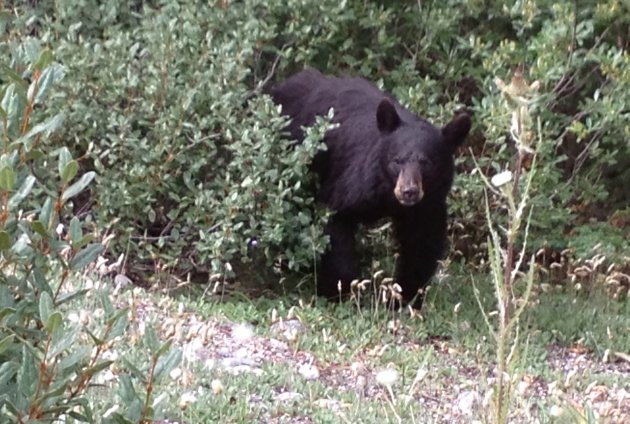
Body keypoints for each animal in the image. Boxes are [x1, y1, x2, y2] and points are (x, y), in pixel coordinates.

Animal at [270, 69, 472, 308]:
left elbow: (421, 243)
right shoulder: (355, 182)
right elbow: (334, 220)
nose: (409, 191)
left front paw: (403, 299)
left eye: (426, 163)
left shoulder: (428, 203)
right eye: (397, 161)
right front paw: (340, 291)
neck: (387, 194)